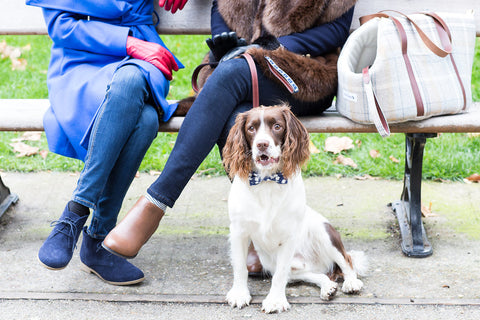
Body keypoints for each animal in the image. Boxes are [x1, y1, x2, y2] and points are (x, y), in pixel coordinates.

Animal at [222, 105, 368, 312]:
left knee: (347, 261)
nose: (262, 144)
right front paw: (239, 294)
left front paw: (275, 301)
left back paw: (351, 283)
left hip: (323, 232)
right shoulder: (238, 231)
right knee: (318, 274)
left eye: (277, 126)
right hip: (277, 264)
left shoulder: (288, 236)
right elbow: (240, 267)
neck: (267, 180)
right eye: (251, 128)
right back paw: (328, 288)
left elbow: (279, 275)